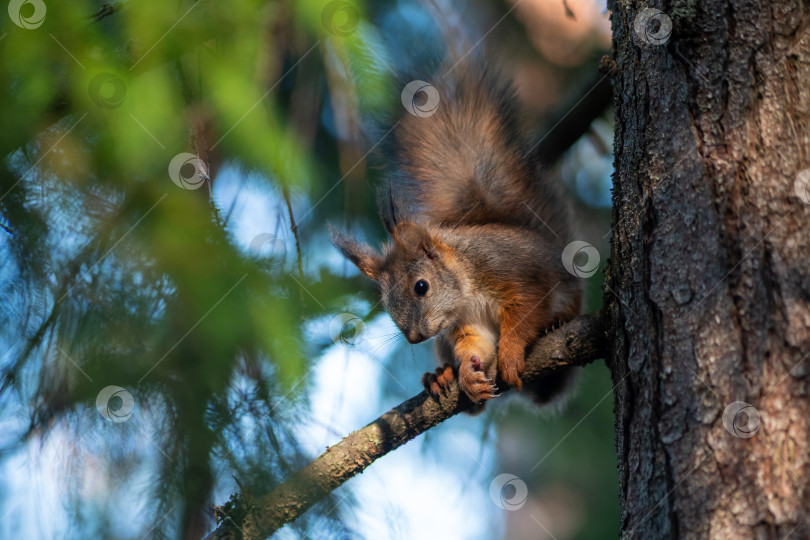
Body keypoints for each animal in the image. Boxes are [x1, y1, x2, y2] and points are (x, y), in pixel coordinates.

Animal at [328, 60, 580, 404]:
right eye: (385, 303)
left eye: (421, 287)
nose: (414, 337)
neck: (466, 292)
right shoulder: (466, 325)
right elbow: (474, 344)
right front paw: (467, 374)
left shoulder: (517, 274)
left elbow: (525, 314)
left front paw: (510, 353)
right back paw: (440, 375)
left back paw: (555, 324)